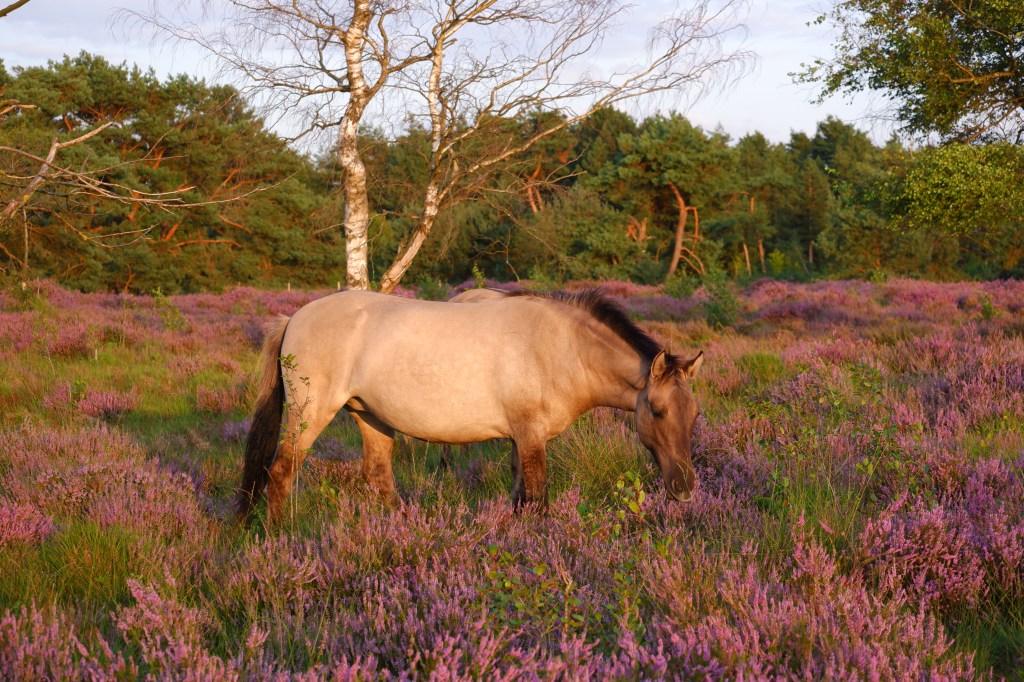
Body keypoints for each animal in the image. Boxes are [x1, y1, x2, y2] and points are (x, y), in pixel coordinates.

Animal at [238, 288, 704, 523]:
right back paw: (281, 539)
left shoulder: (519, 439)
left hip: (370, 416)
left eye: (694, 415)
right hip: (311, 414)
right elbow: (538, 499)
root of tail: (293, 318)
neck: (561, 348)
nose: (685, 490)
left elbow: (520, 495)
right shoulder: (531, 436)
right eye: (657, 411)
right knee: (281, 473)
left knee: (378, 476)